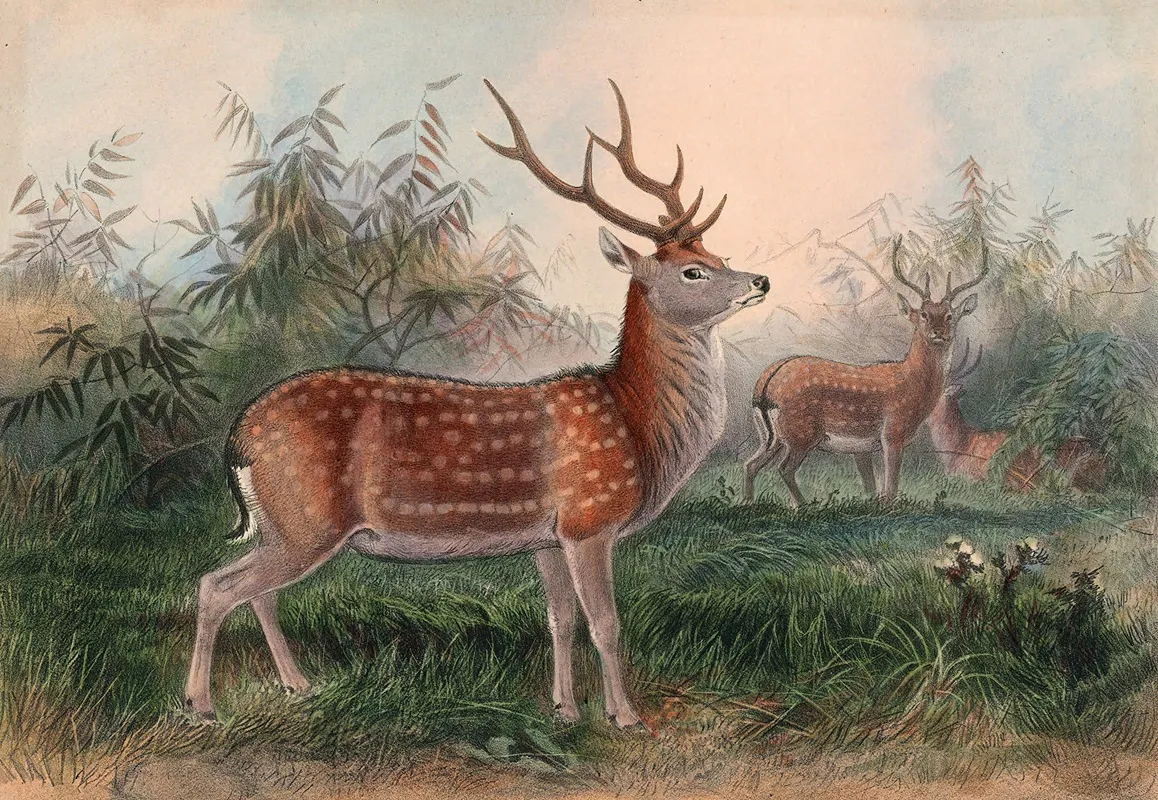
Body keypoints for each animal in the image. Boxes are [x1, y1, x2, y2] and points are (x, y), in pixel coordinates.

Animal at [183, 78, 770, 729]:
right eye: (694, 271)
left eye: (719, 258)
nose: (760, 281)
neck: (637, 425)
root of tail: (239, 435)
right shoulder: (589, 520)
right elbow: (606, 624)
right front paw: (625, 717)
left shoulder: (547, 537)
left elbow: (560, 619)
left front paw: (564, 709)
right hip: (306, 518)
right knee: (215, 586)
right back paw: (201, 705)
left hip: (283, 523)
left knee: (254, 592)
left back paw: (298, 685)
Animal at [742, 235, 987, 507]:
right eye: (923, 314)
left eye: (950, 315)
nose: (939, 333)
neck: (912, 381)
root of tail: (765, 384)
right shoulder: (893, 431)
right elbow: (890, 489)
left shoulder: (864, 448)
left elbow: (873, 487)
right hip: (801, 431)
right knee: (783, 469)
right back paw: (803, 506)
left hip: (770, 436)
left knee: (750, 464)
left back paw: (748, 502)